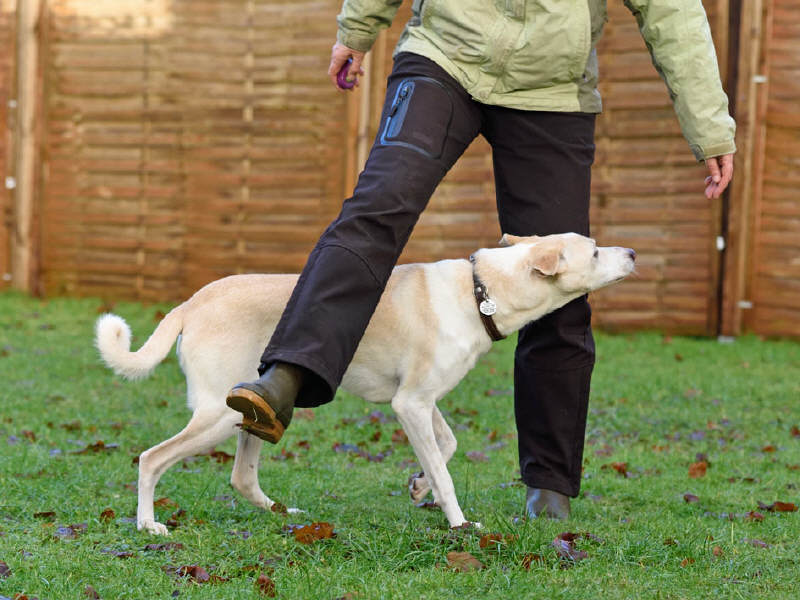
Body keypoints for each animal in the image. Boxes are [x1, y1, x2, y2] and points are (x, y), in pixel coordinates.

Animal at [95, 232, 635, 534]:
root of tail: (193, 302)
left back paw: (280, 514)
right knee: (151, 459)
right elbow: (446, 472)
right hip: (218, 417)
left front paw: (419, 488)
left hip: (254, 412)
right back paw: (148, 524)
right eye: (594, 251)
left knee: (241, 477)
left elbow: (445, 447)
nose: (631, 252)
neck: (481, 290)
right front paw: (459, 524)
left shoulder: (420, 401)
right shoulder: (410, 404)